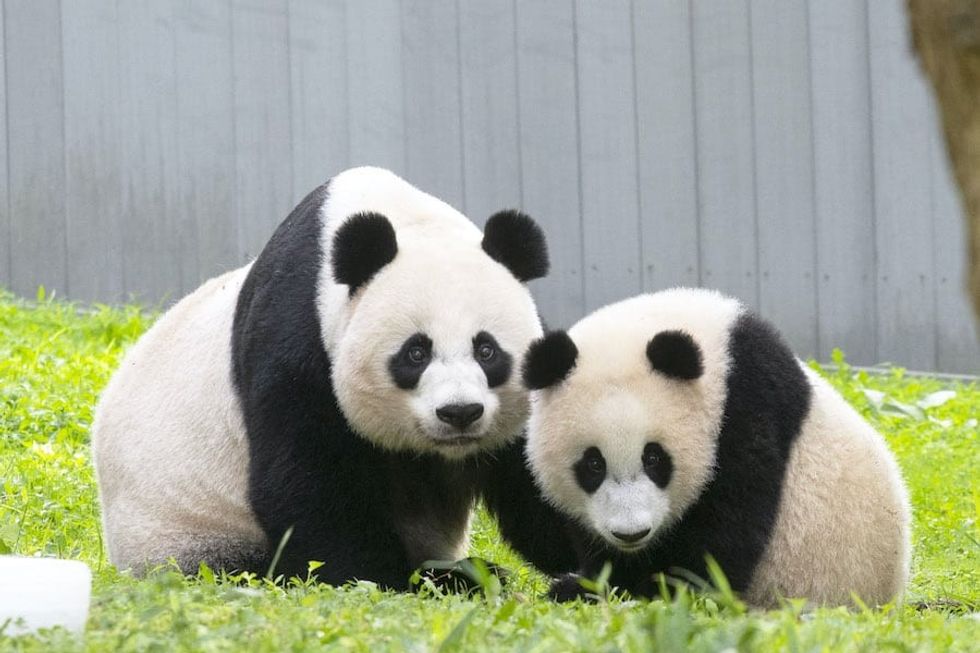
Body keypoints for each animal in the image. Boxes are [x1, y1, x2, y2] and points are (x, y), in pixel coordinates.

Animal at [92, 166, 551, 589]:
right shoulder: (297, 338)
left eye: (486, 350)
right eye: (416, 353)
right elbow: (305, 482)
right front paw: (392, 580)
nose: (460, 413)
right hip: (184, 533)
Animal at [520, 288, 911, 607]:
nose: (631, 533)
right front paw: (594, 583)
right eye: (593, 465)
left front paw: (653, 590)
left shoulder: (747, 402)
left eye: (654, 458)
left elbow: (725, 535)